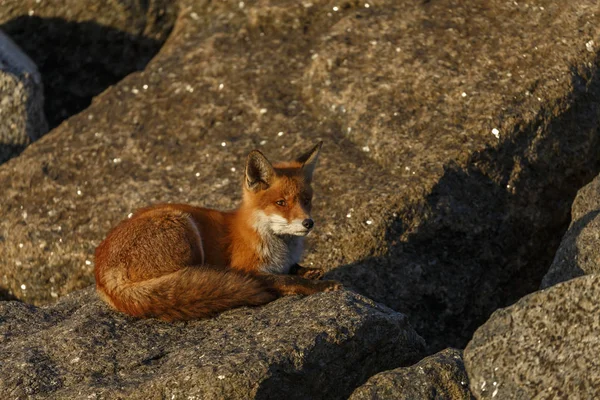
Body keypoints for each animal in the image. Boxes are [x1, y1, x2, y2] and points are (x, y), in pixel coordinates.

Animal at [92, 142, 338, 320]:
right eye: (281, 203)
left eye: (306, 200)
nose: (308, 223)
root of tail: (101, 271)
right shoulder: (248, 268)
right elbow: (287, 281)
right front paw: (319, 285)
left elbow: (294, 271)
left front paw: (310, 271)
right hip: (183, 226)